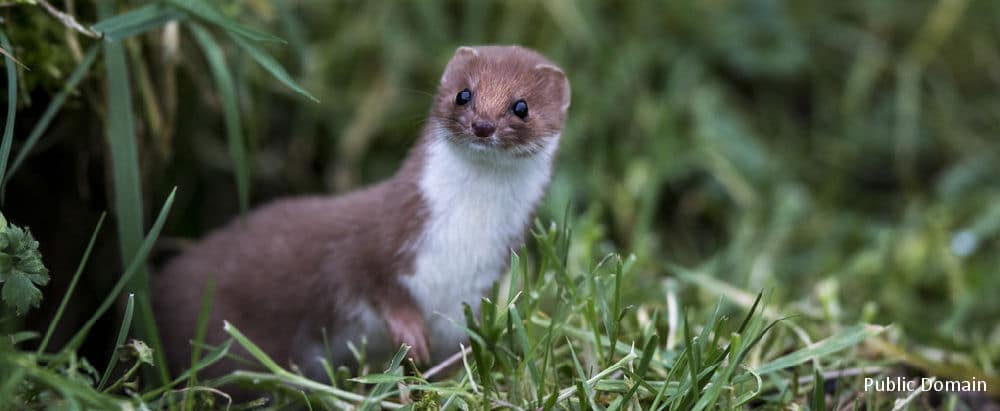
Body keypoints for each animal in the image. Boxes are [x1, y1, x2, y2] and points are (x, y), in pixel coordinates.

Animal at [152, 45, 568, 380]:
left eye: (521, 106)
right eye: (463, 94)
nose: (482, 125)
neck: (462, 237)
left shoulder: (474, 294)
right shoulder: (379, 234)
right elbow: (360, 272)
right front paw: (409, 330)